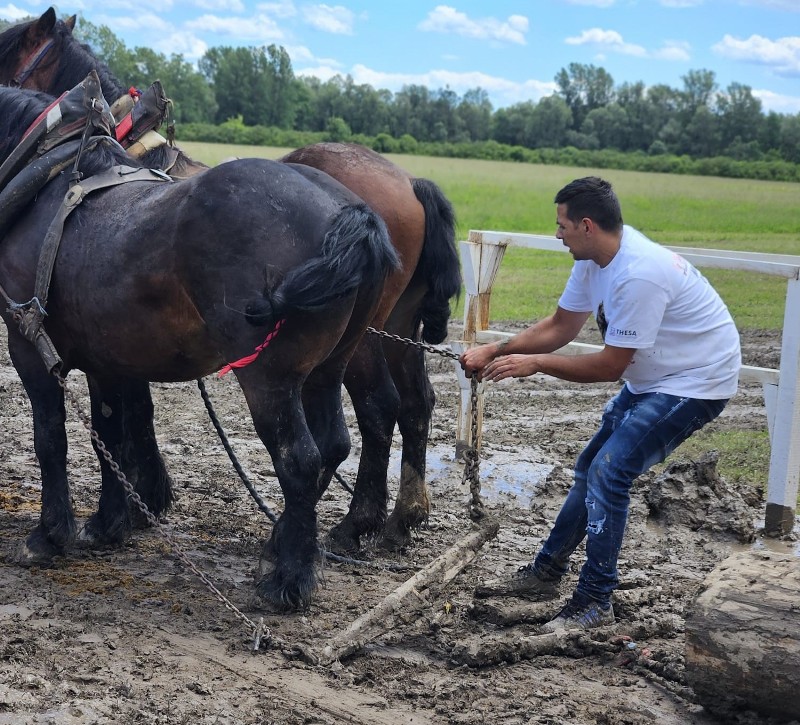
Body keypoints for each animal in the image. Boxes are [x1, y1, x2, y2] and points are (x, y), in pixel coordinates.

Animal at [0, 7, 462, 548]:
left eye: (10, 55)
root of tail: (404, 183)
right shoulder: (116, 344)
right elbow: (127, 419)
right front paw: (138, 504)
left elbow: (115, 422)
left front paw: (132, 504)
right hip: (396, 328)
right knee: (413, 405)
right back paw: (400, 516)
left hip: (351, 346)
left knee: (374, 411)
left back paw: (351, 524)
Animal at [0, 78, 398, 612]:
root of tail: (347, 212)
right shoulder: (107, 360)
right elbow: (109, 436)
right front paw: (107, 525)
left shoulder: (28, 344)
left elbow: (50, 438)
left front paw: (48, 535)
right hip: (328, 368)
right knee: (334, 443)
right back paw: (284, 545)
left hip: (269, 379)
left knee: (300, 459)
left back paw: (288, 579)